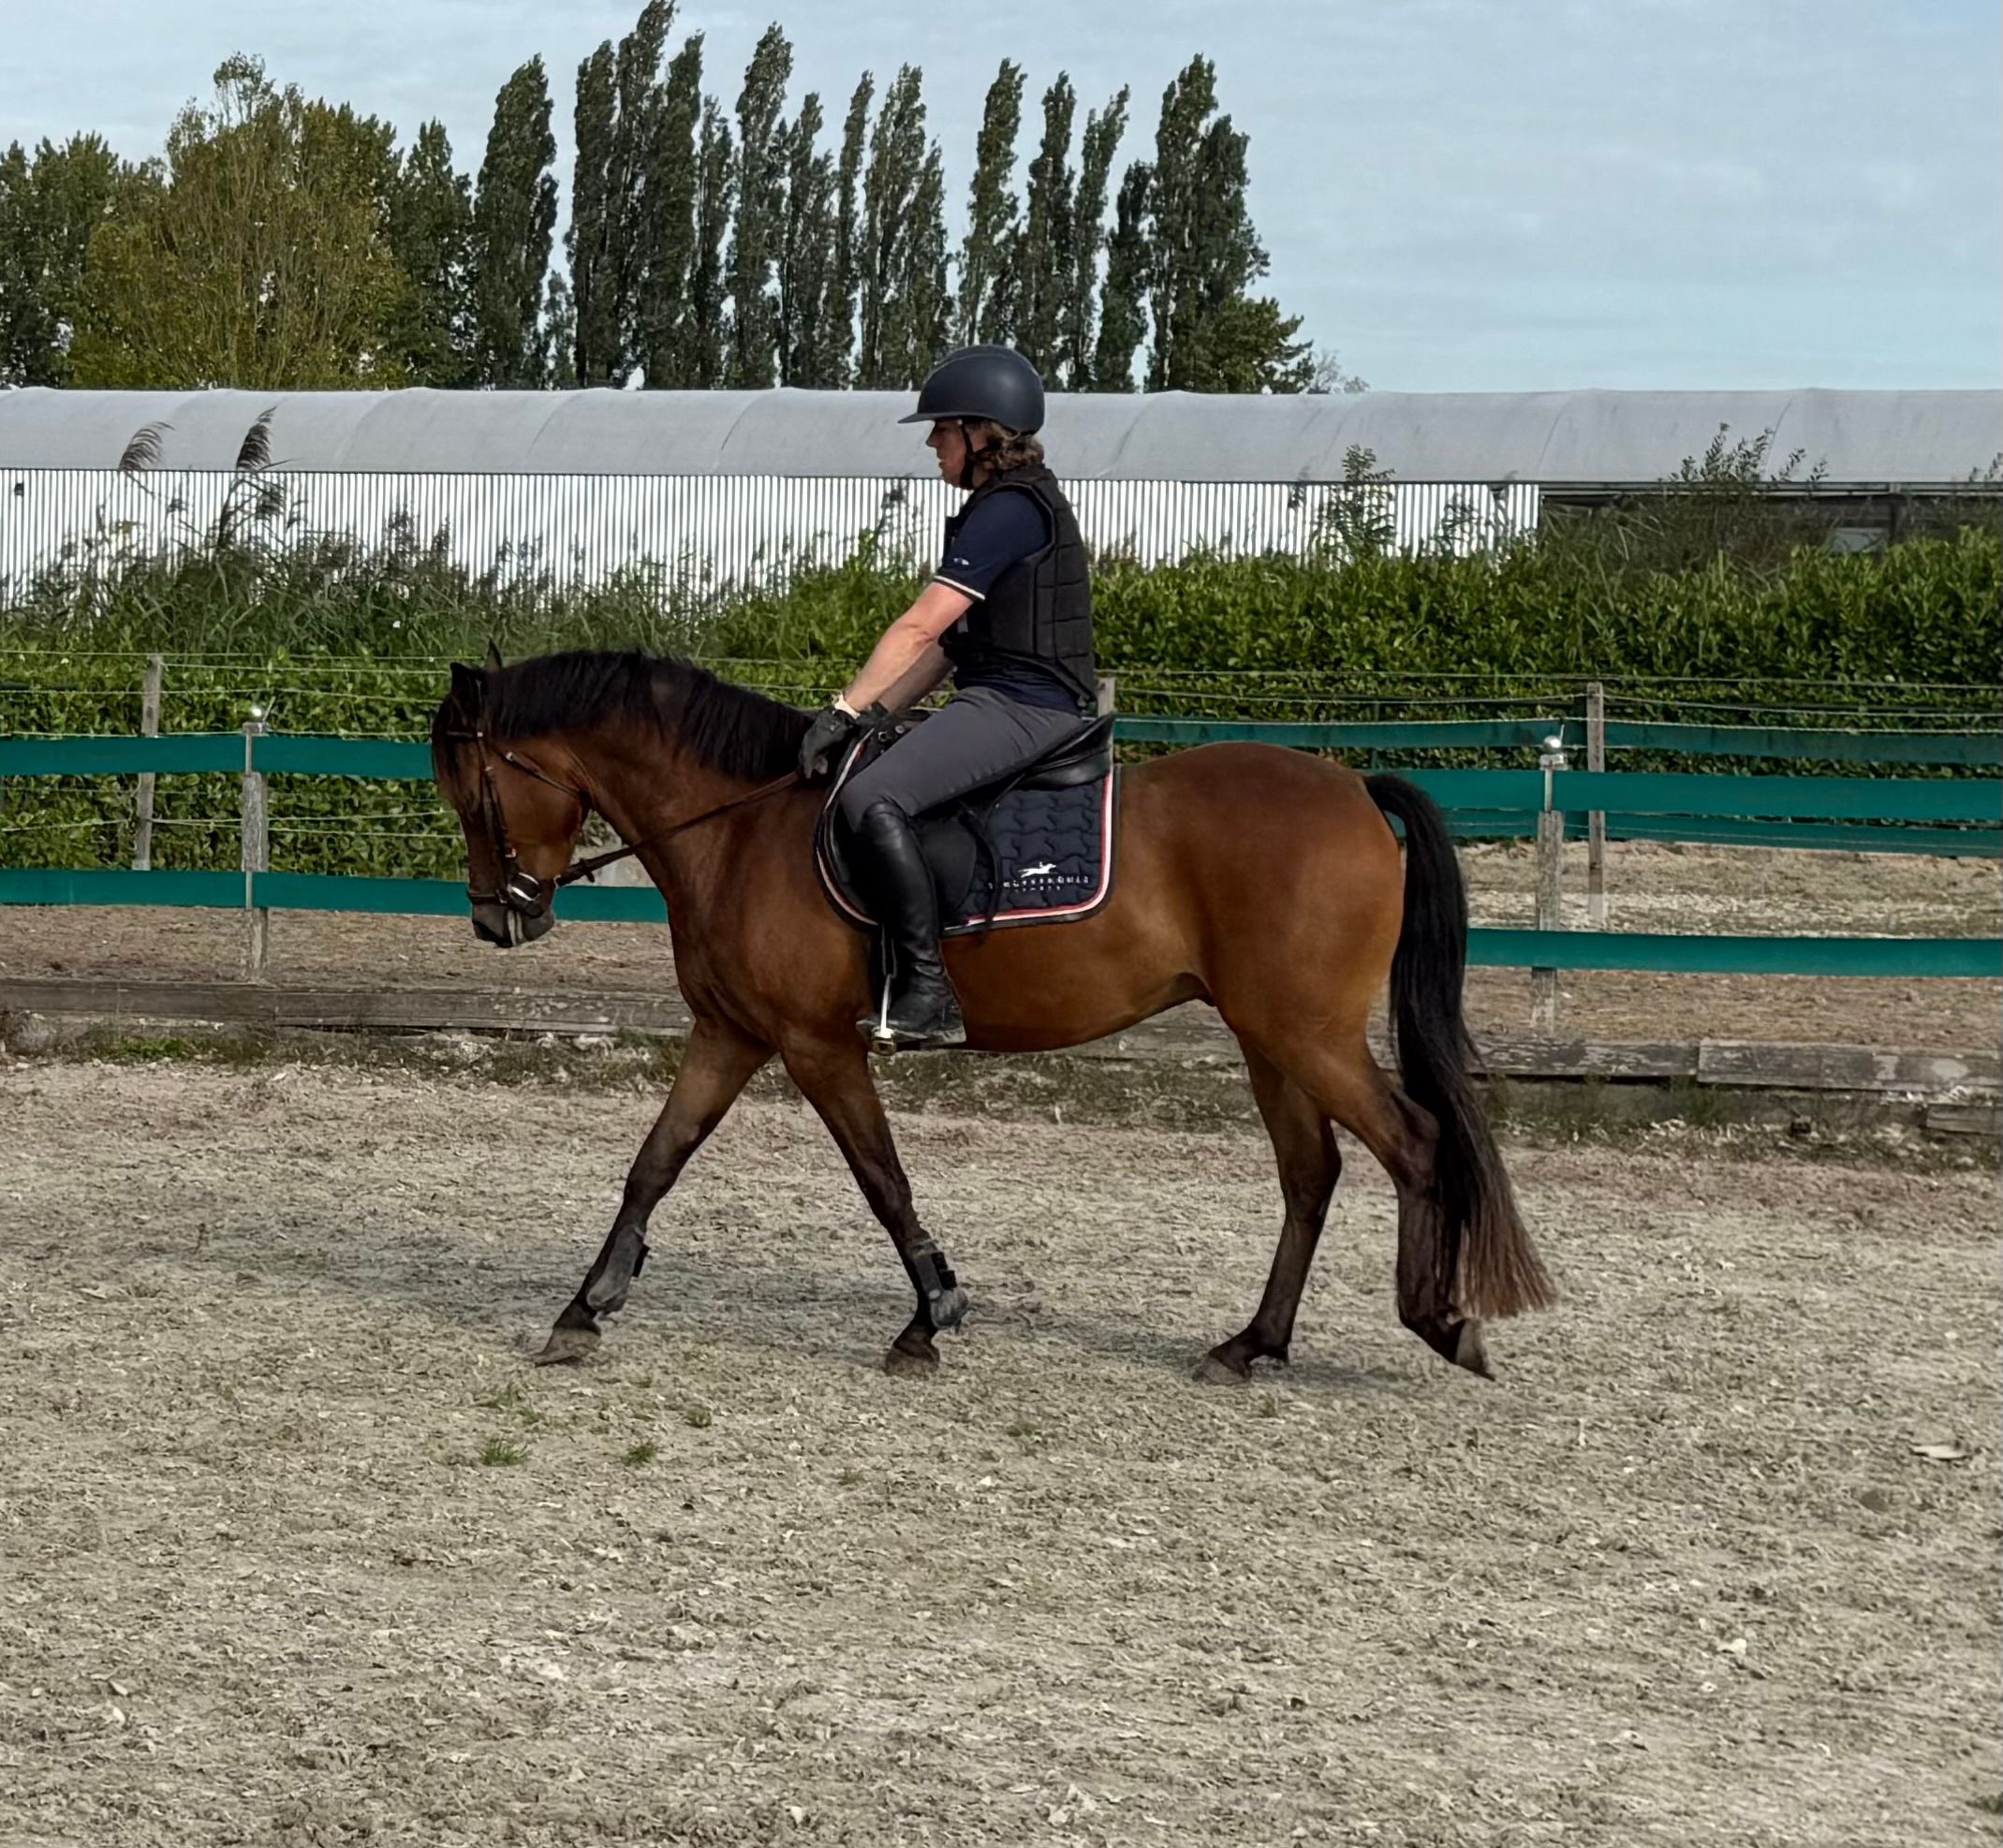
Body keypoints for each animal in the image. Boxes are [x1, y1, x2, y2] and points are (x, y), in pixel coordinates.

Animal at [428, 647, 1554, 1382]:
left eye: (471, 786)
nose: (494, 918)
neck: (742, 827)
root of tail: (1354, 792)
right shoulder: (732, 1034)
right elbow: (654, 1162)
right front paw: (583, 1310)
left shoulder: (815, 1045)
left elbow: (882, 1178)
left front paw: (931, 1316)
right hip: (1268, 1039)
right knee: (1311, 1174)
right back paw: (1254, 1344)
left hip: (1304, 1035)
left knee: (1415, 1144)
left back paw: (1441, 1321)